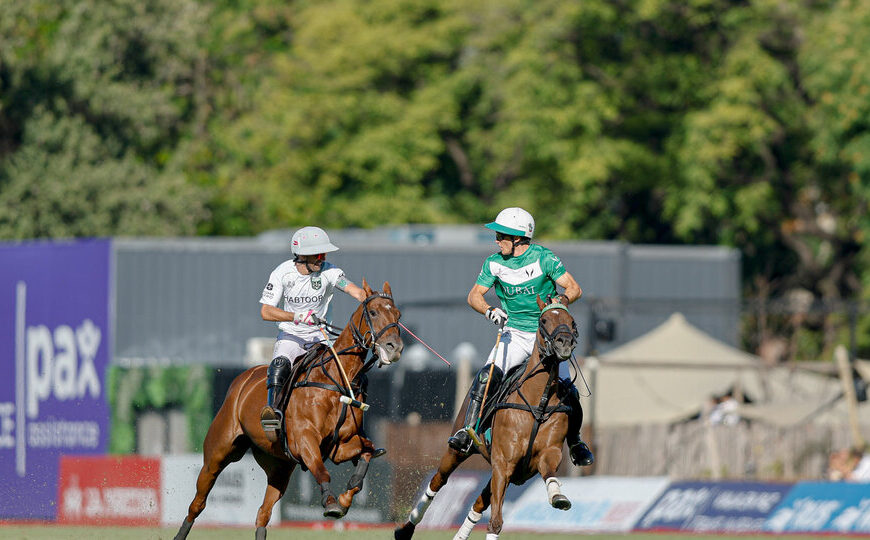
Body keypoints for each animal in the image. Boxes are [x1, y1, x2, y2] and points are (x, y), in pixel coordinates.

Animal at [175, 280, 406, 536]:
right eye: (373, 312)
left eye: (398, 314)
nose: (394, 348)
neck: (337, 379)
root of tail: (242, 379)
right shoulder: (305, 439)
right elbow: (321, 470)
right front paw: (331, 503)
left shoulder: (338, 446)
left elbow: (367, 449)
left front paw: (347, 497)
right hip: (218, 452)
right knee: (198, 503)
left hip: (278, 465)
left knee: (263, 514)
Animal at [396, 296, 580, 540]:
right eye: (543, 320)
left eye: (572, 321)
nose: (564, 343)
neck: (538, 403)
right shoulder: (503, 461)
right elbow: (495, 522)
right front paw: (496, 315)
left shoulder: (544, 455)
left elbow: (549, 473)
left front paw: (558, 497)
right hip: (458, 451)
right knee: (438, 481)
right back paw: (405, 529)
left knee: (478, 502)